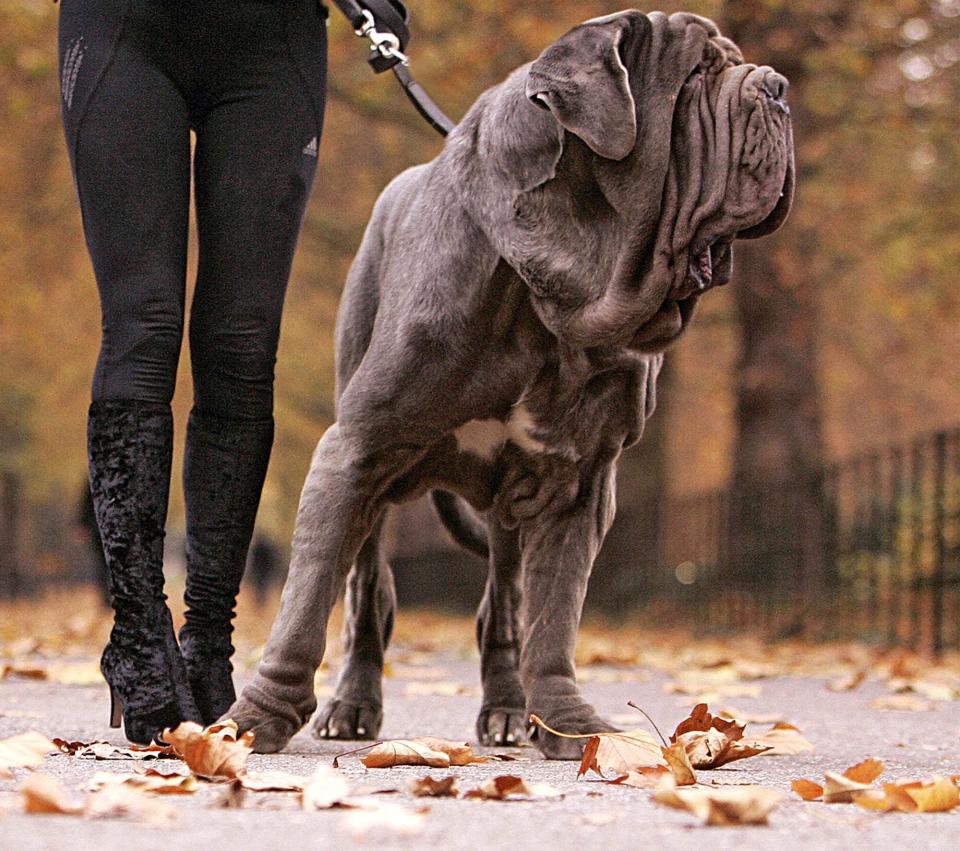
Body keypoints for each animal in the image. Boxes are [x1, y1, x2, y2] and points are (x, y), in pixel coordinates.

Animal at [227, 11, 796, 760]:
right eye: (699, 74)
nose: (780, 88)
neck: (557, 291)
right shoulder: (355, 449)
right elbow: (307, 600)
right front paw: (252, 719)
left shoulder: (582, 480)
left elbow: (553, 618)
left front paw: (568, 724)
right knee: (370, 595)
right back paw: (353, 705)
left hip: (507, 511)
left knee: (501, 606)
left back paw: (506, 711)